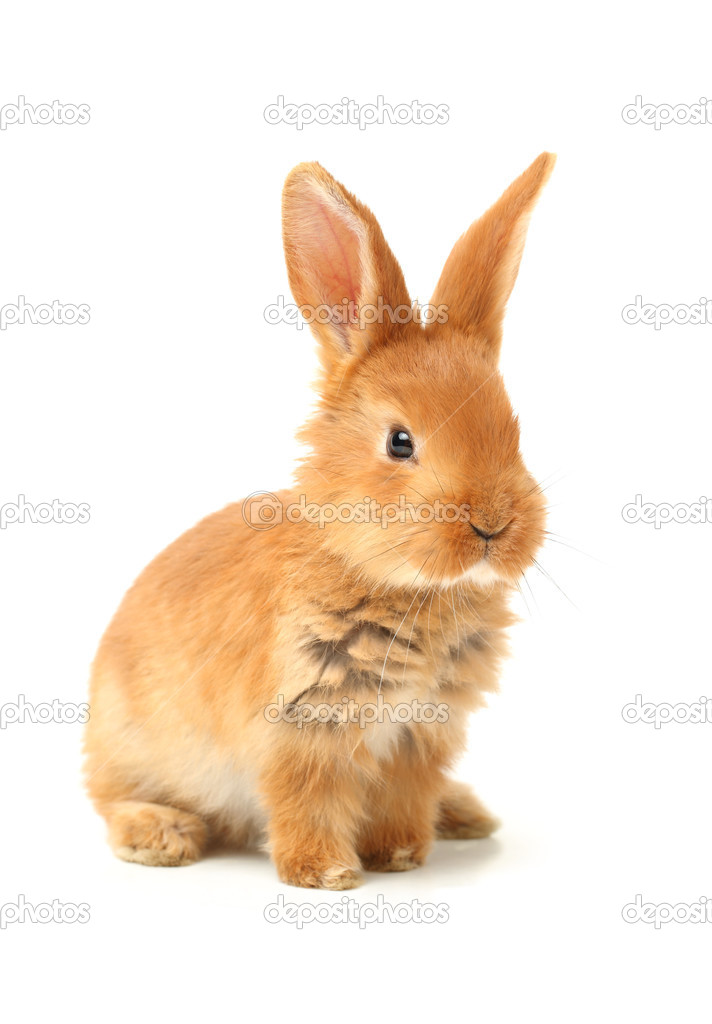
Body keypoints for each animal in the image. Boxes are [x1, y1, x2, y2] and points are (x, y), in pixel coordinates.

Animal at [84, 152, 555, 889]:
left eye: (513, 431)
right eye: (400, 442)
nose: (493, 526)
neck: (398, 583)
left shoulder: (422, 734)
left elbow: (403, 799)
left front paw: (400, 855)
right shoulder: (302, 726)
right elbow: (309, 800)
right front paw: (327, 873)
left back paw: (465, 814)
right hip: (134, 746)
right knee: (110, 799)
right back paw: (160, 835)